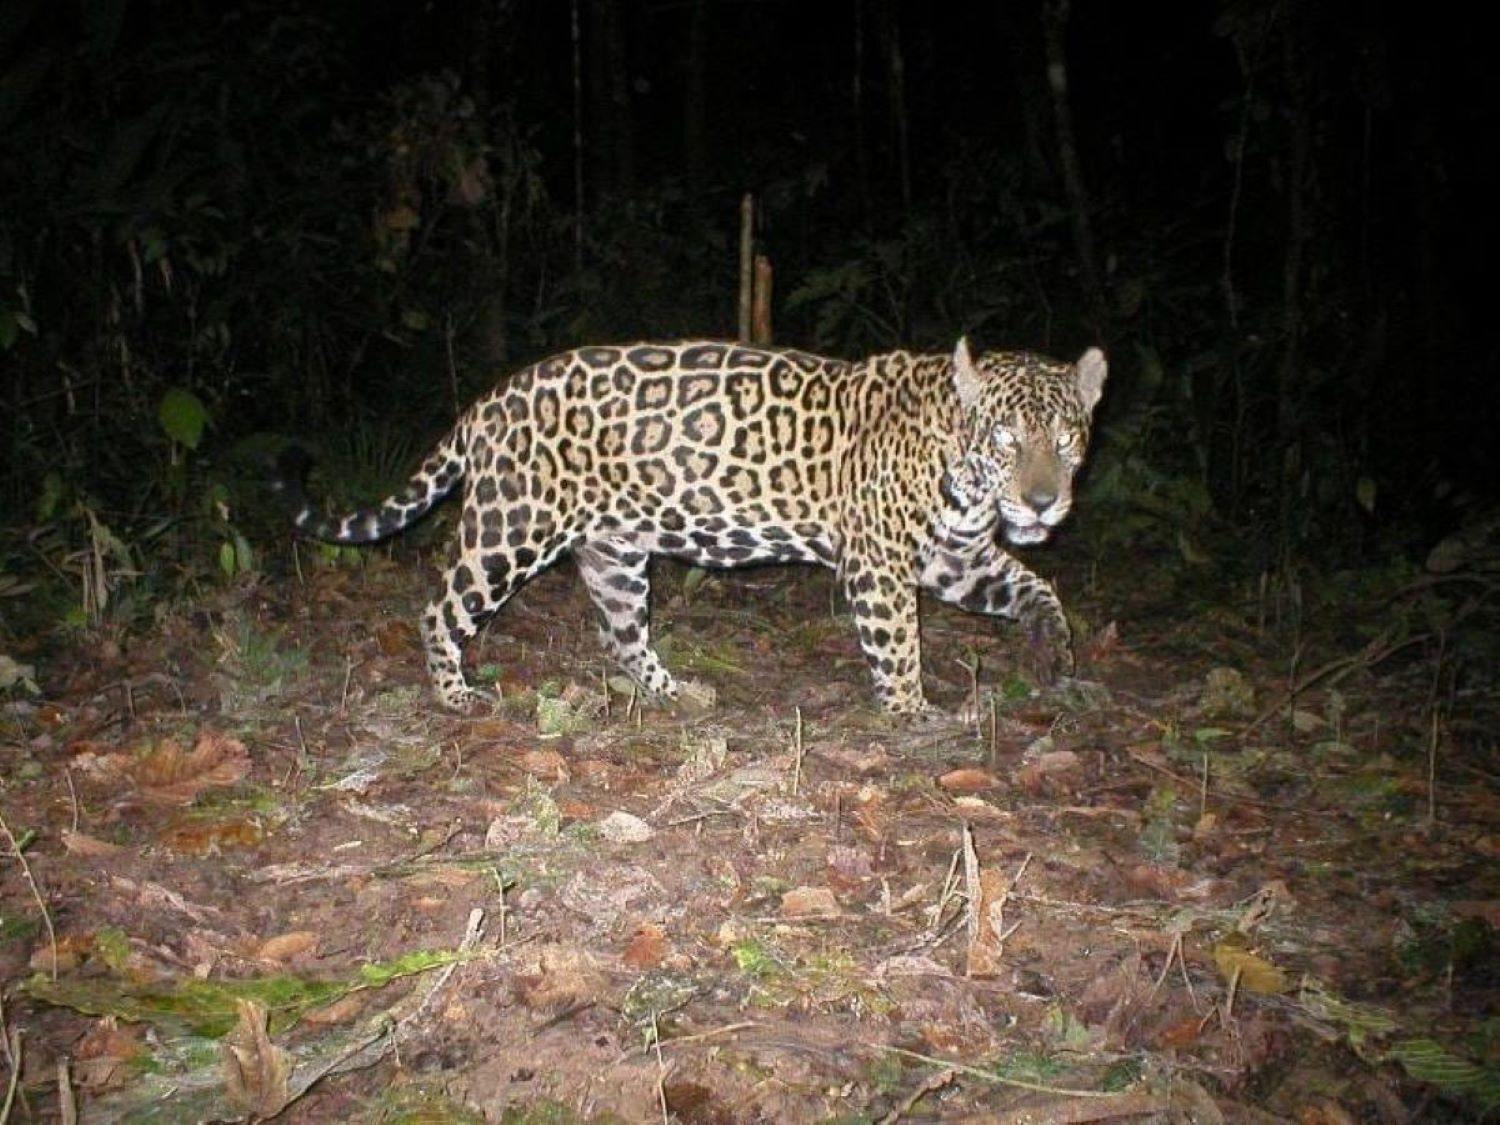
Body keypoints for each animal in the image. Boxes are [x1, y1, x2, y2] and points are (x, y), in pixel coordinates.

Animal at [274, 338, 1107, 715]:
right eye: (1005, 439)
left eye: (1067, 439)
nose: (1042, 502)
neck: (959, 464)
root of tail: (487, 401)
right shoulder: (879, 564)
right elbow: (900, 642)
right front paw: (913, 712)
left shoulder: (952, 558)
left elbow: (1036, 585)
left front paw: (1053, 648)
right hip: (513, 525)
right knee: (441, 604)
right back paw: (453, 692)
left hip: (613, 552)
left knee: (618, 632)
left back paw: (676, 691)